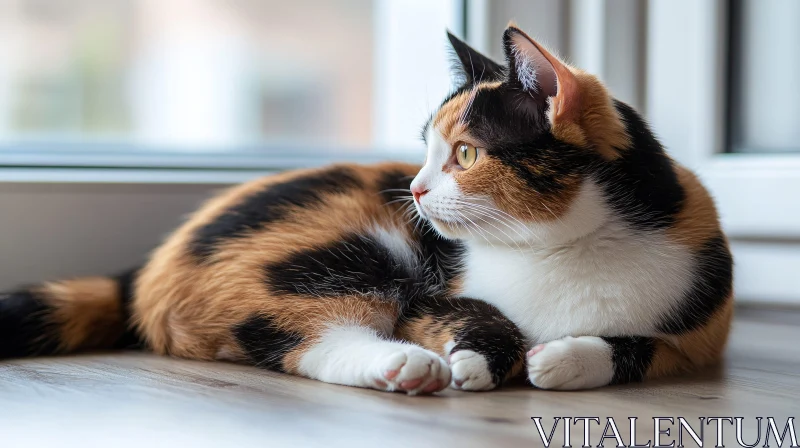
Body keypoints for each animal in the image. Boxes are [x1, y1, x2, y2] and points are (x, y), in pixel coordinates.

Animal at [0, 26, 732, 394]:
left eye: (465, 153)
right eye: (428, 149)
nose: (414, 189)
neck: (562, 251)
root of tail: (143, 269)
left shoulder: (704, 318)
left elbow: (651, 349)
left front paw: (563, 360)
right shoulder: (432, 293)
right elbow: (472, 314)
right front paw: (480, 359)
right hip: (350, 251)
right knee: (299, 333)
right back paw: (405, 368)